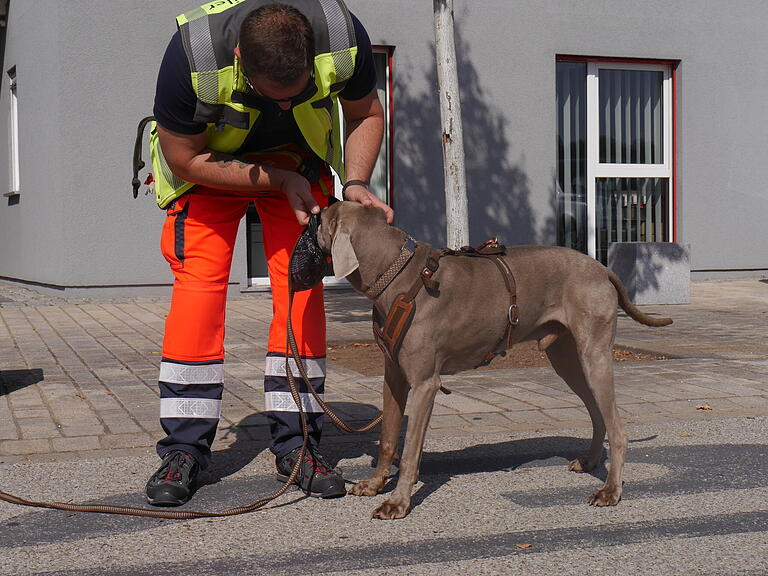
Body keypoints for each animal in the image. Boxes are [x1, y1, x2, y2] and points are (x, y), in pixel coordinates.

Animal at [318, 200, 672, 520]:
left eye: (323, 218)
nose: (312, 217)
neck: (398, 275)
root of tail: (601, 268)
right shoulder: (393, 376)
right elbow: (388, 439)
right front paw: (374, 485)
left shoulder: (424, 384)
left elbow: (409, 453)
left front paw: (397, 503)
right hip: (567, 357)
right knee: (598, 413)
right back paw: (589, 462)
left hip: (594, 353)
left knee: (617, 427)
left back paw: (610, 491)